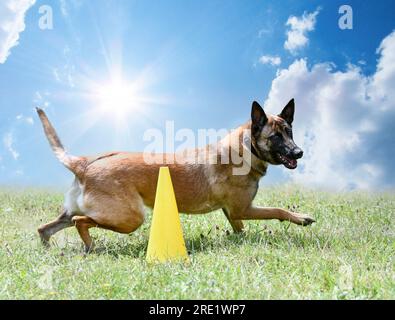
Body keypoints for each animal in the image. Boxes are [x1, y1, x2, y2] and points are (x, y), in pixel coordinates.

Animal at [37, 99, 316, 251]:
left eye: (289, 131)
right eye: (275, 137)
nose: (300, 152)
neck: (246, 148)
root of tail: (84, 164)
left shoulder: (233, 213)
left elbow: (241, 230)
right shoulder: (243, 209)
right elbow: (279, 210)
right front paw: (301, 218)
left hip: (79, 213)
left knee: (46, 228)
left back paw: (52, 249)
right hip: (129, 218)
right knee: (80, 222)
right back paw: (90, 246)